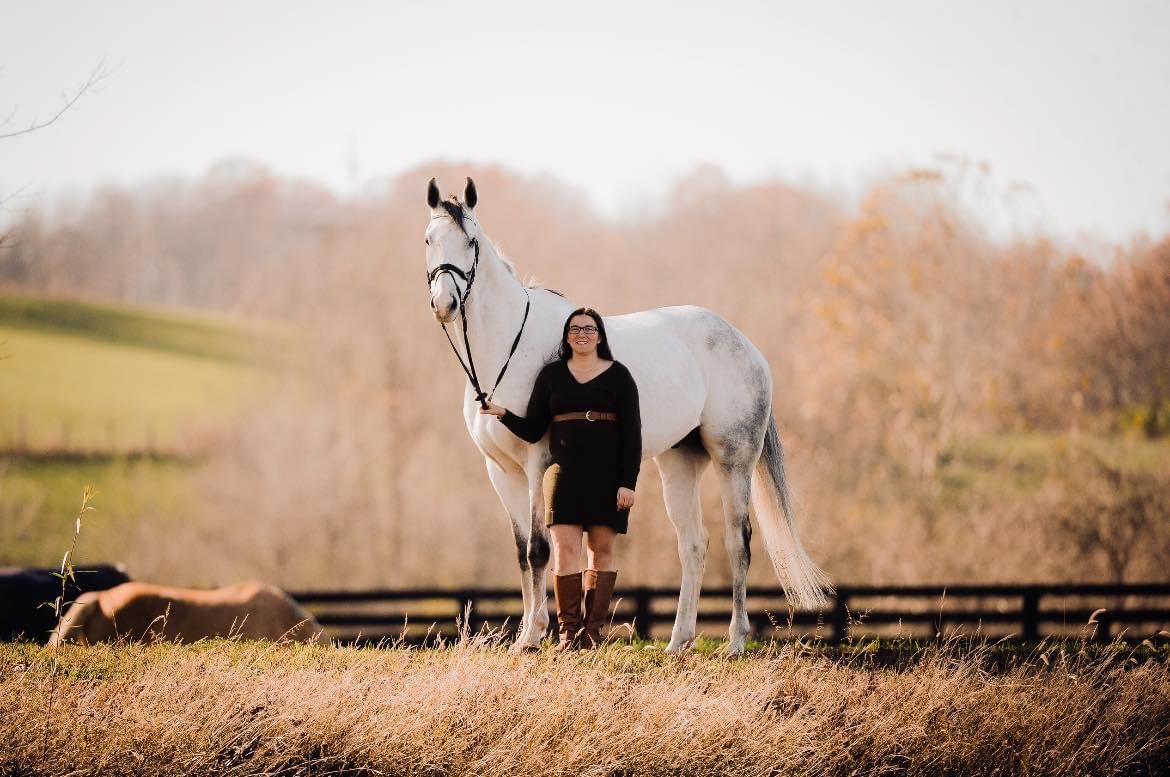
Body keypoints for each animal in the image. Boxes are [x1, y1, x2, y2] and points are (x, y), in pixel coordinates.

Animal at [423, 177, 832, 654]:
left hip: (734, 460)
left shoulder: (536, 464)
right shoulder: (500, 470)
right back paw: (678, 642)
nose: (445, 303)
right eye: (429, 240)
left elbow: (539, 549)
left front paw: (534, 636)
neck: (506, 349)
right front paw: (527, 635)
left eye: (471, 242)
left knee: (739, 543)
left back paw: (734, 642)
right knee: (694, 545)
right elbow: (522, 552)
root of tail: (747, 346)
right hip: (679, 462)